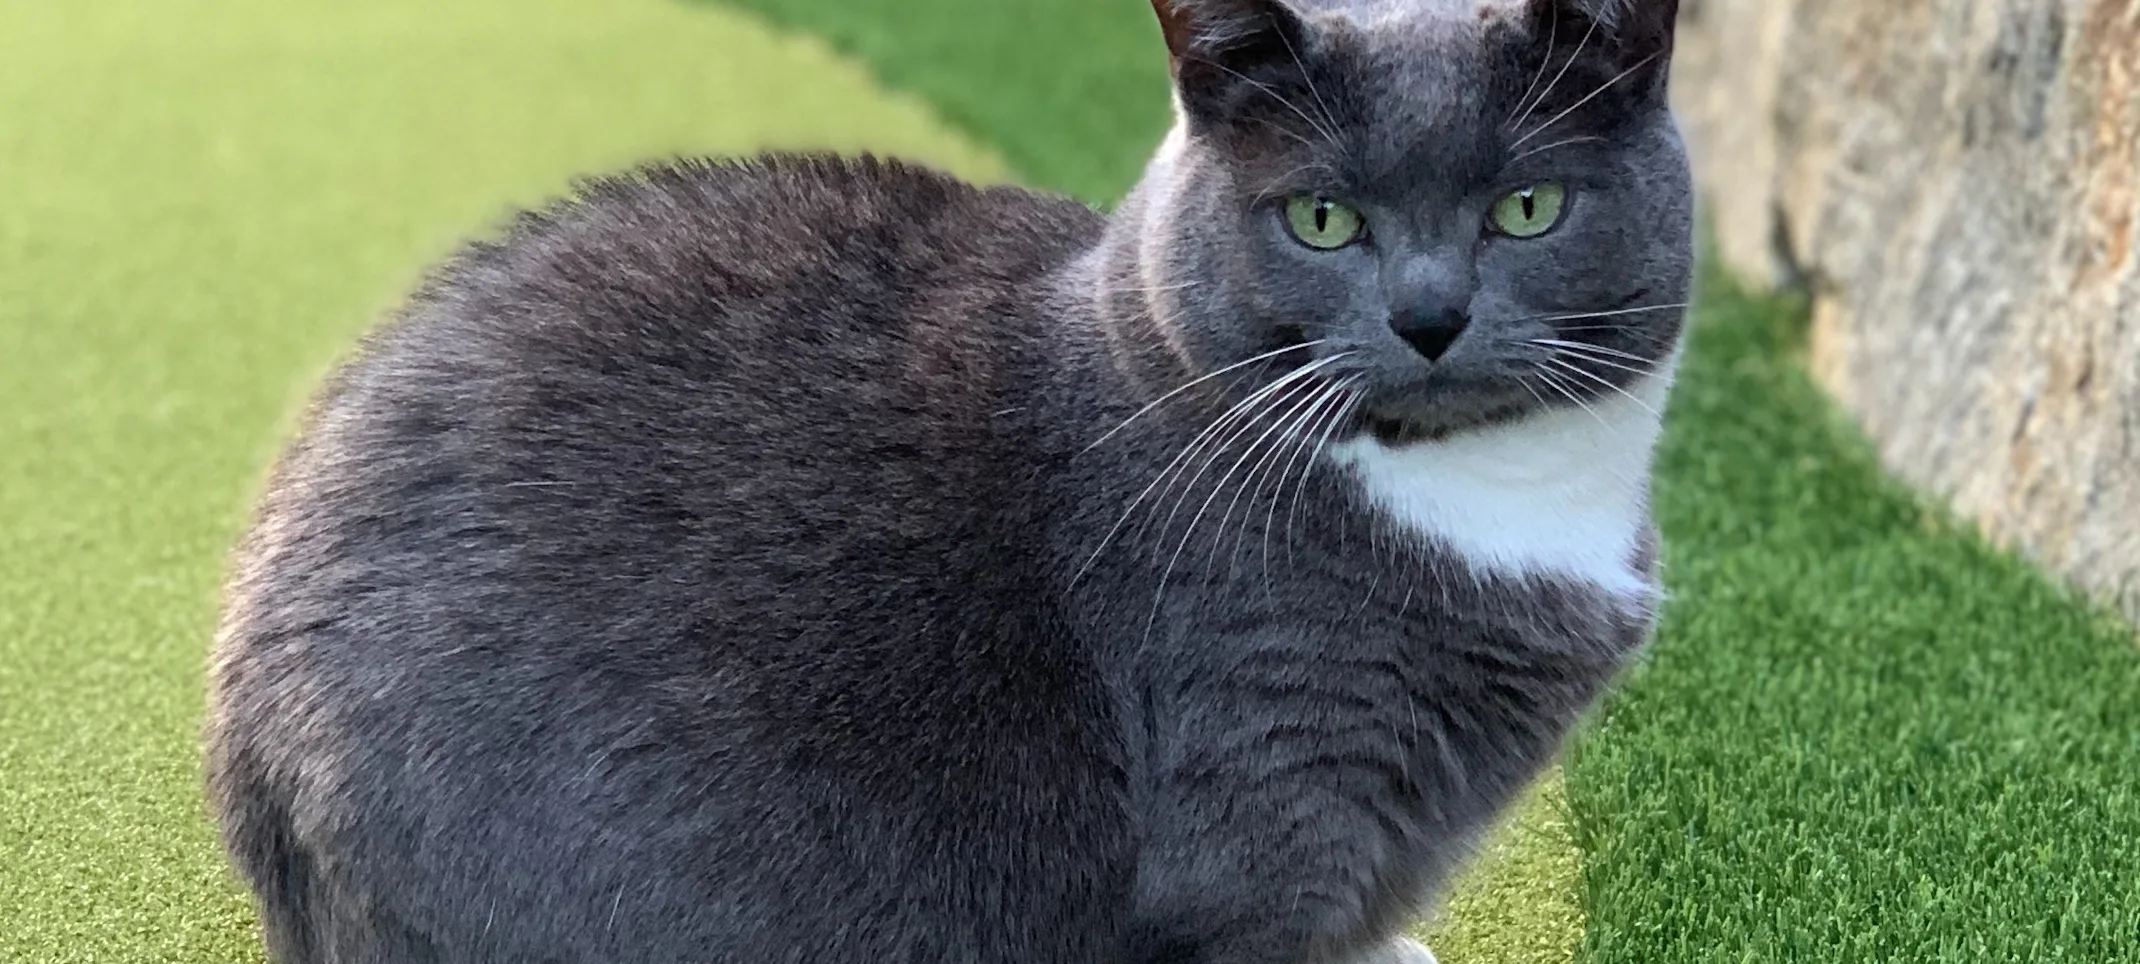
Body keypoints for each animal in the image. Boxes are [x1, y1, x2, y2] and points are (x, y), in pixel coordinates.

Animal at [208, 0, 1694, 959]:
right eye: (1323, 219)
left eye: (1527, 208)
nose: (1430, 315)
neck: (1497, 506)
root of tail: (248, 756)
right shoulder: (1263, 788)